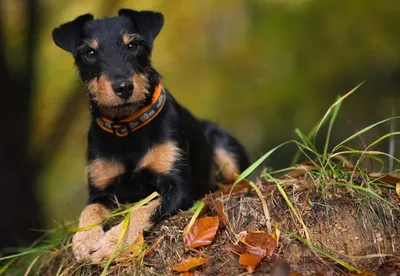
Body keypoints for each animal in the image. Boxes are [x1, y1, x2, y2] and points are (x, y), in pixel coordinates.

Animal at [51, 9, 248, 264]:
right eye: (90, 52)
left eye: (133, 45)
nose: (123, 88)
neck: (127, 128)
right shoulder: (101, 192)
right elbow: (89, 210)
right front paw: (85, 240)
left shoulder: (179, 188)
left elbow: (144, 209)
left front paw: (113, 243)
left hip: (225, 149)